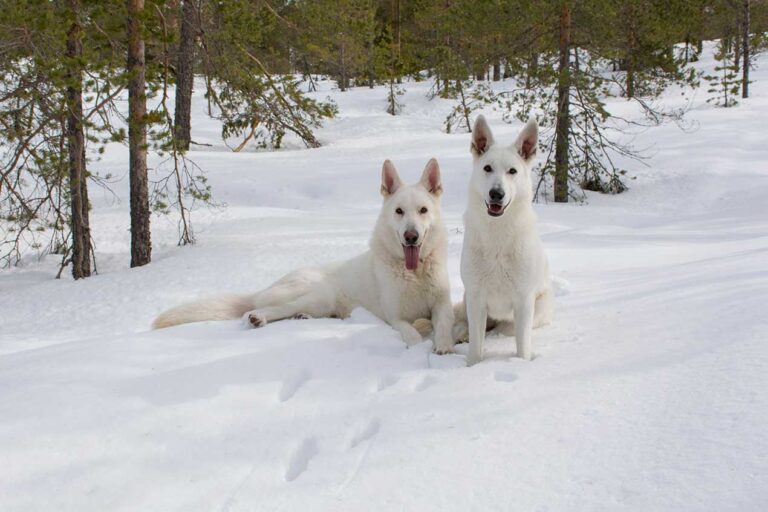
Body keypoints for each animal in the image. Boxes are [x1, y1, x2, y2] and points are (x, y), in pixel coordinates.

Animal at [152, 158, 456, 354]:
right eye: (399, 211)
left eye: (423, 210)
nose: (411, 236)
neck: (413, 273)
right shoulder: (396, 318)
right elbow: (413, 333)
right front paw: (422, 347)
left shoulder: (441, 304)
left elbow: (443, 323)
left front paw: (444, 345)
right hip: (316, 294)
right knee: (267, 309)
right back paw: (258, 318)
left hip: (321, 304)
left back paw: (300, 318)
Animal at [452, 116, 556, 364]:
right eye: (487, 168)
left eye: (512, 171)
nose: (496, 194)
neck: (497, 236)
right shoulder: (476, 298)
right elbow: (475, 348)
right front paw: (472, 366)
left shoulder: (524, 300)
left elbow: (522, 346)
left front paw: (522, 363)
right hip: (467, 298)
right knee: (467, 327)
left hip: (538, 307)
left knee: (503, 330)